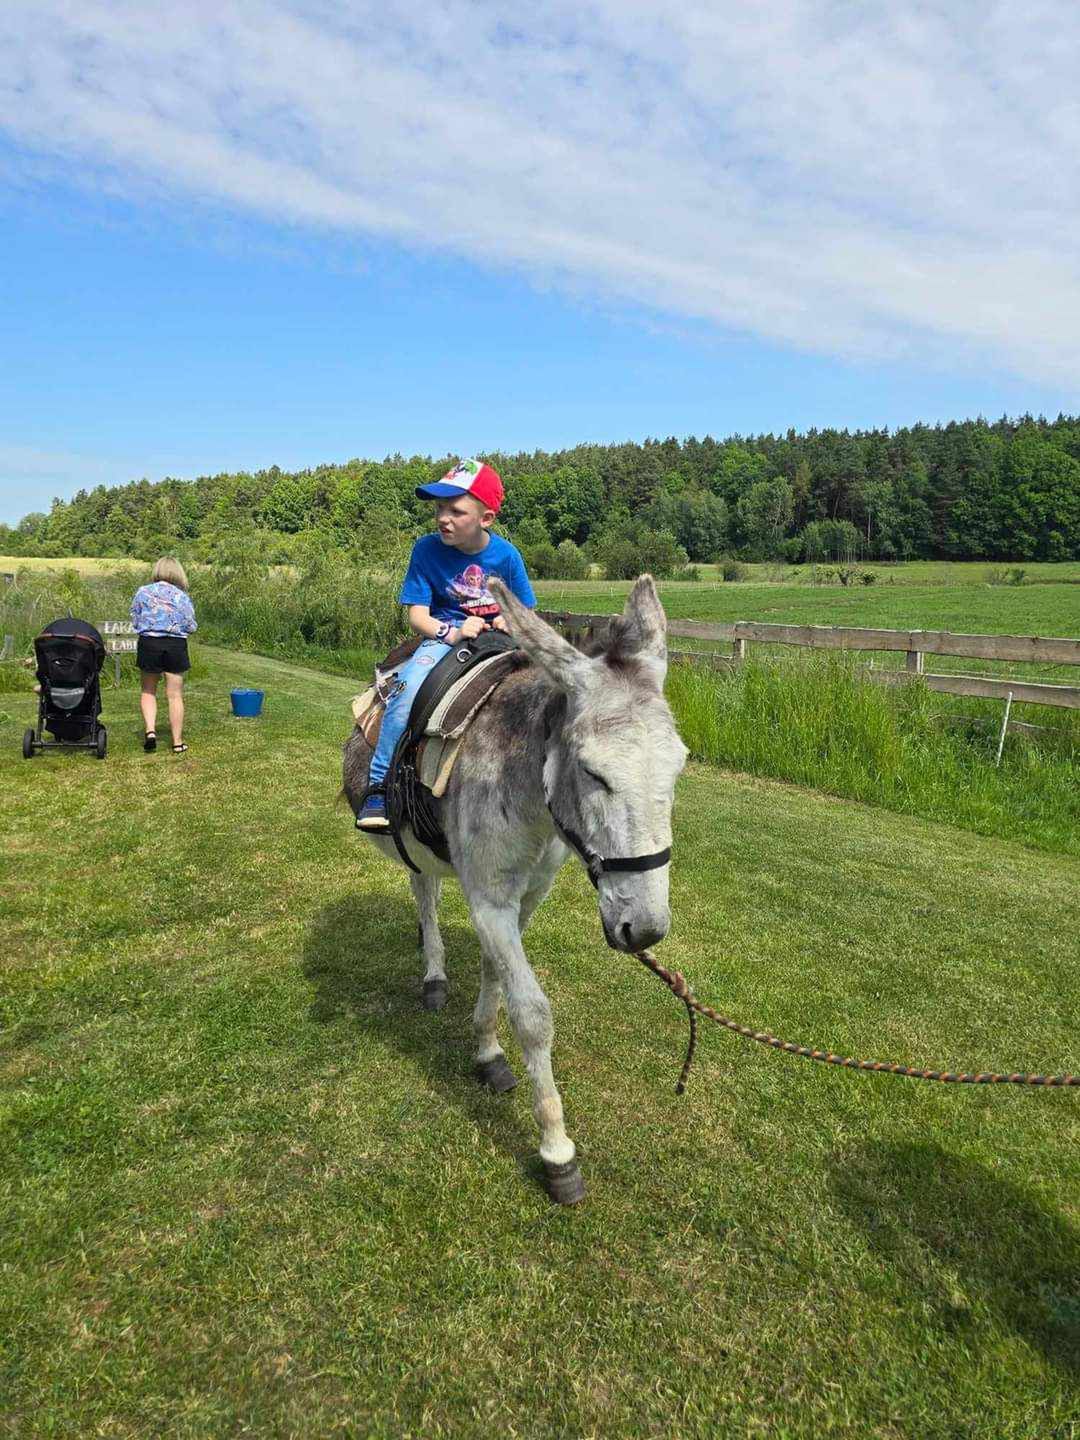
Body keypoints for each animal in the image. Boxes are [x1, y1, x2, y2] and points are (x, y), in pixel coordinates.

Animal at [342, 575, 688, 1203]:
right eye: (593, 773)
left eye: (679, 769)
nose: (647, 930)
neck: (534, 797)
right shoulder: (490, 901)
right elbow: (532, 1013)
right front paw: (557, 1150)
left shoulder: (524, 899)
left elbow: (495, 972)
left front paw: (487, 1051)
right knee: (423, 893)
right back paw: (433, 972)